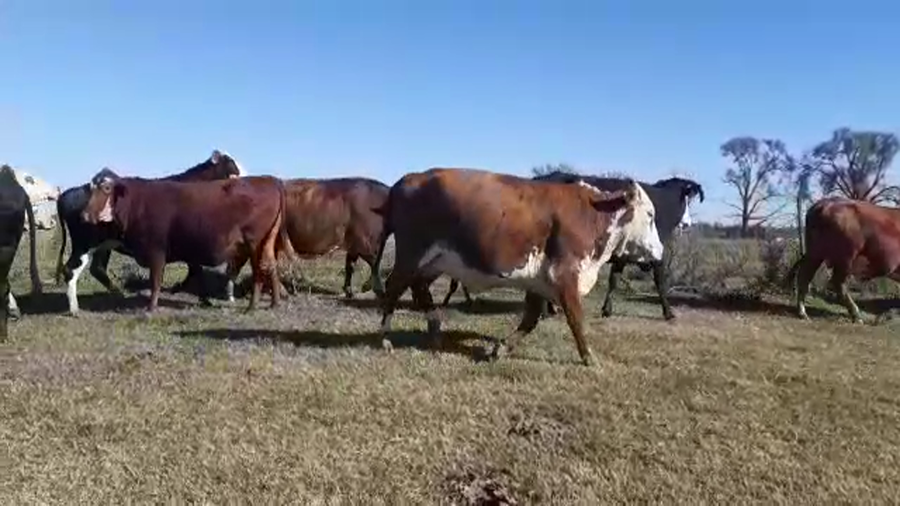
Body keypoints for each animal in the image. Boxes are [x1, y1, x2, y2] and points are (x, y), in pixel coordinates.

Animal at [54, 150, 244, 315]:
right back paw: (76, 308)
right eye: (232, 167)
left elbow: (195, 271)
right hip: (85, 244)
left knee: (96, 268)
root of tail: (67, 193)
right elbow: (195, 272)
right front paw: (193, 295)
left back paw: (116, 294)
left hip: (103, 245)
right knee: (71, 269)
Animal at [80, 173, 285, 312]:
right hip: (266, 241)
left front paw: (151, 307)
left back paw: (252, 306)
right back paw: (274, 303)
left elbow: (156, 280)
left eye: (106, 189)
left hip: (254, 243)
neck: (137, 203)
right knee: (271, 265)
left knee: (259, 270)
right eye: (90, 189)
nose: (84, 215)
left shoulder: (156, 250)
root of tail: (270, 180)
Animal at [223, 177, 389, 301]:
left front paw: (351, 291)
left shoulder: (355, 244)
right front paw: (378, 290)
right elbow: (374, 263)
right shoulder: (364, 241)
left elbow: (351, 266)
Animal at [372, 167, 664, 366]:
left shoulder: (539, 279)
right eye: (650, 215)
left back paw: (434, 330)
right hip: (412, 254)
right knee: (393, 287)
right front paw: (589, 357)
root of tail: (407, 179)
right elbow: (576, 320)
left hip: (435, 261)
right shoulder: (565, 274)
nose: (660, 252)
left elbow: (531, 319)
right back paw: (385, 338)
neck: (592, 214)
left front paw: (500, 349)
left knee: (418, 288)